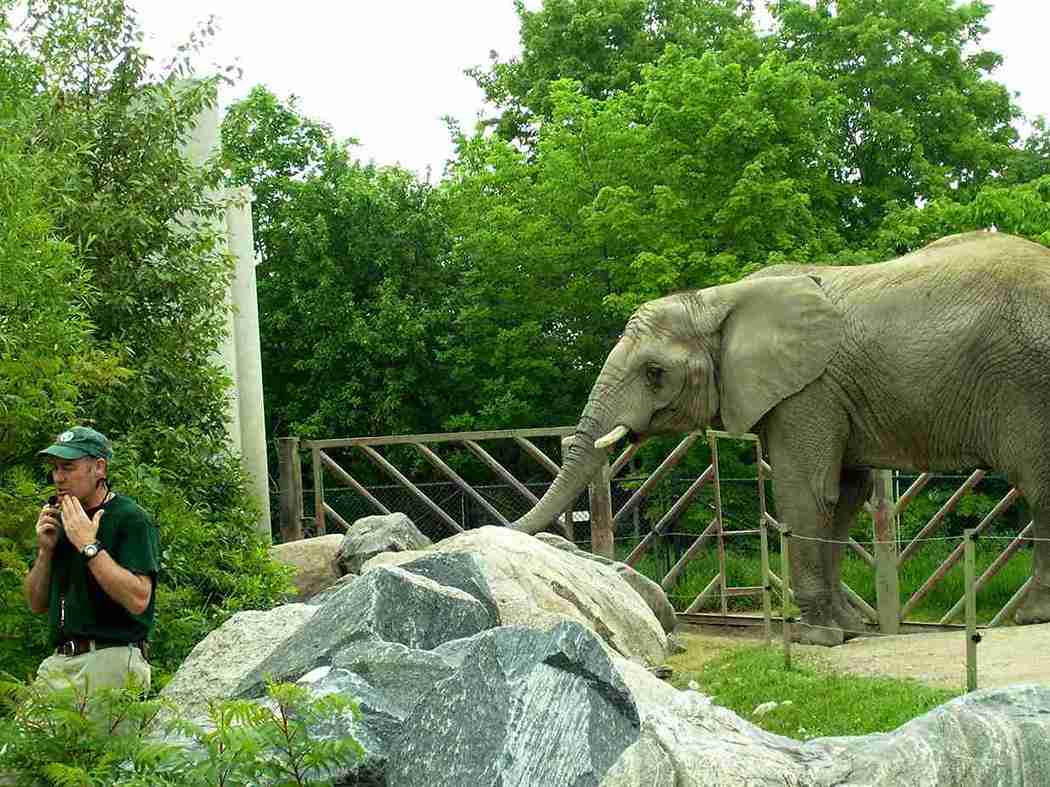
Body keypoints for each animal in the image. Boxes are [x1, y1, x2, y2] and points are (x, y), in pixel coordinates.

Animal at [512, 231, 1050, 646]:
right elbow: (843, 495)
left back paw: (1032, 617)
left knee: (1040, 486)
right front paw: (849, 630)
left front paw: (817, 639)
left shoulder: (809, 390)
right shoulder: (831, 393)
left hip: (1027, 380)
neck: (718, 299)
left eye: (654, 373)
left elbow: (804, 490)